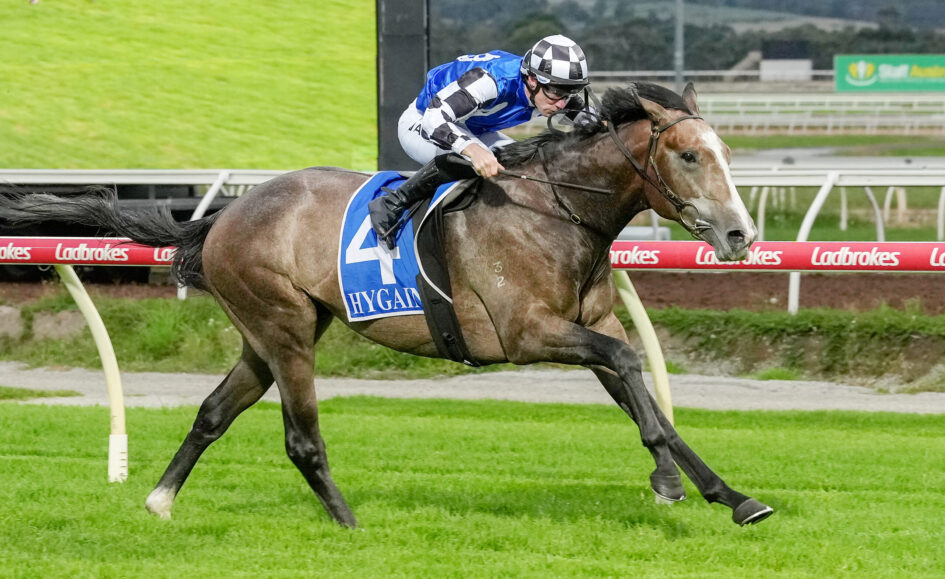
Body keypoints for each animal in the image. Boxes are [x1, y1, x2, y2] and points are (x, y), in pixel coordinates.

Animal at [0, 81, 771, 527]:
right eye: (690, 156)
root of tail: (221, 215)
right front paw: (667, 481)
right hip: (284, 328)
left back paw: (160, 499)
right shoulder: (525, 332)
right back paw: (348, 523)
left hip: (266, 333)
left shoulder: (589, 322)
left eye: (726, 154)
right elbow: (631, 373)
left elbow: (645, 395)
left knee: (215, 411)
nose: (741, 234)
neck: (554, 210)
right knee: (301, 437)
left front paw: (731, 496)